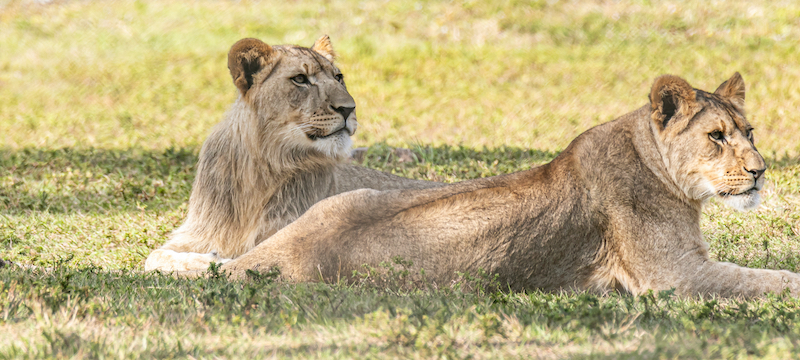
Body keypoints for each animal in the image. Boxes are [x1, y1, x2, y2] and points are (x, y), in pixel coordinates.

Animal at [145, 37, 444, 272]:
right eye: (300, 79)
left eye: (338, 77)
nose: (349, 108)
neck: (259, 170)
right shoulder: (198, 231)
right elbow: (154, 256)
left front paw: (214, 260)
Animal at [208, 72, 800, 298]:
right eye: (717, 137)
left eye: (749, 132)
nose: (760, 170)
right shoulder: (674, 277)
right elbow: (770, 280)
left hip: (350, 198)